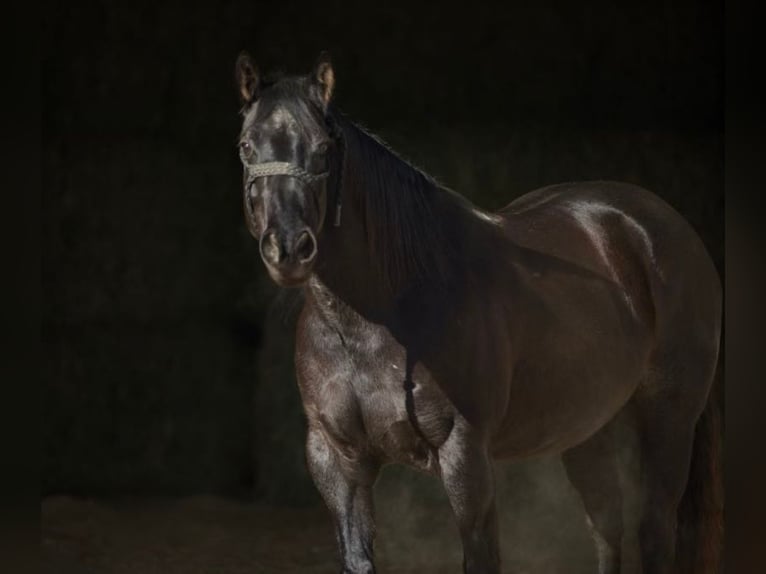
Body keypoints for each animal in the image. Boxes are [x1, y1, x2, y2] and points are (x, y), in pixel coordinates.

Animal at [234, 51, 728, 572]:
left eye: (323, 148)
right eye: (246, 146)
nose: (289, 249)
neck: (377, 320)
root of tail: (660, 224)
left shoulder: (465, 455)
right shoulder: (337, 462)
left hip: (669, 417)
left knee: (654, 529)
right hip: (587, 425)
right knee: (606, 524)